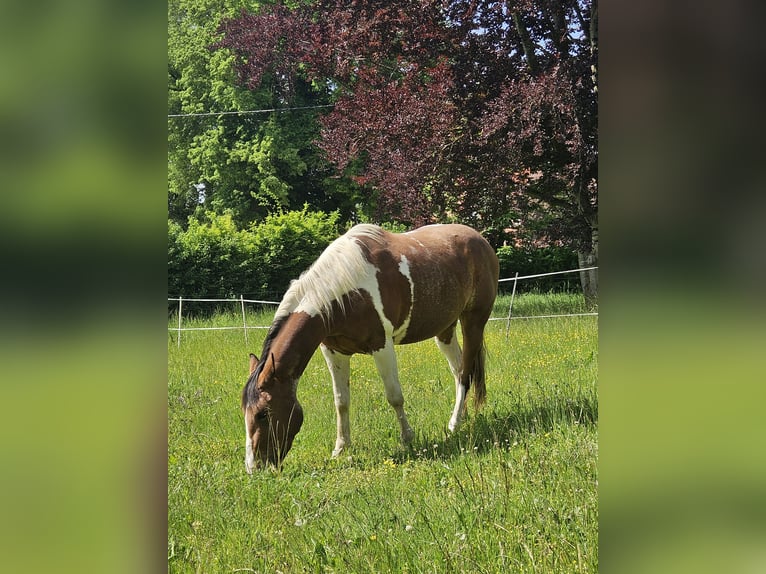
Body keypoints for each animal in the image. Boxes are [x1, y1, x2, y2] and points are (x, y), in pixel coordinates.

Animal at [241, 223, 499, 472]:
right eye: (244, 410)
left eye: (263, 413)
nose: (255, 467)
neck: (345, 292)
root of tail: (481, 241)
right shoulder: (334, 352)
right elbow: (341, 401)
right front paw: (341, 448)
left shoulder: (382, 346)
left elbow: (394, 396)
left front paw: (407, 438)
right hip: (445, 329)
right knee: (458, 370)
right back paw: (461, 417)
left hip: (473, 321)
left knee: (466, 373)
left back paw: (454, 424)